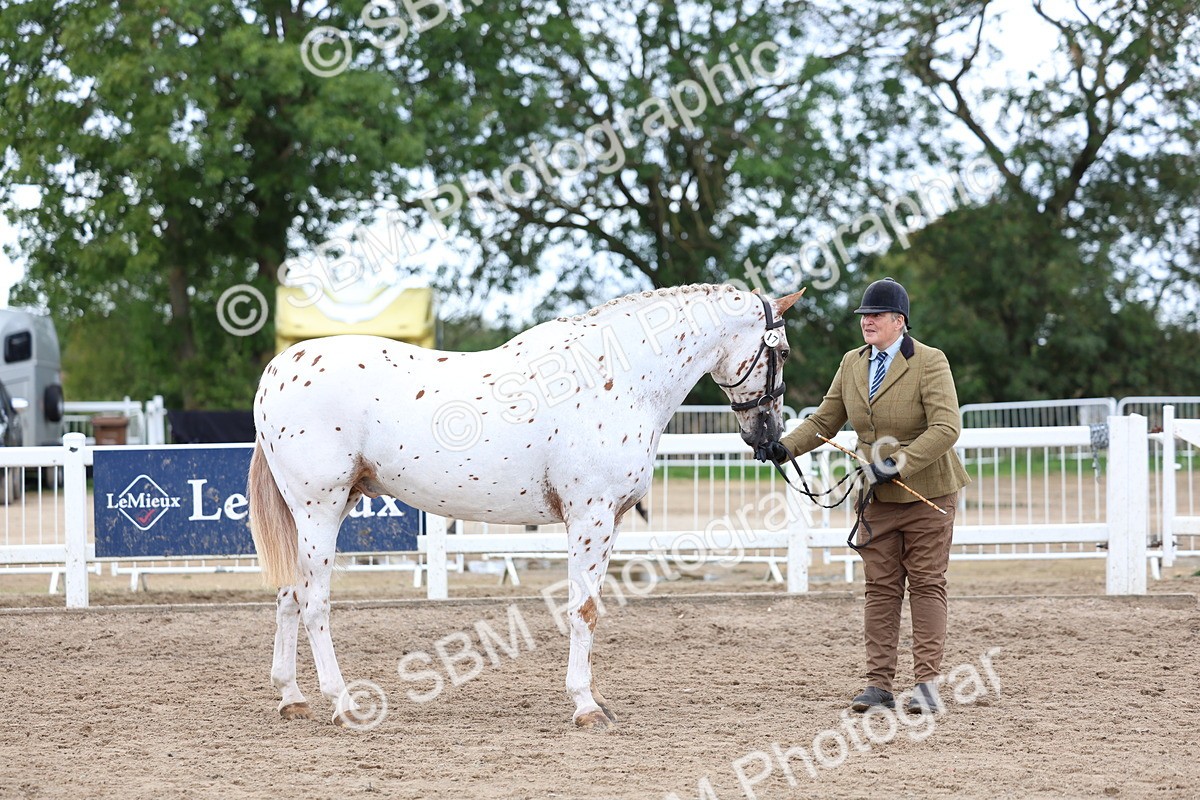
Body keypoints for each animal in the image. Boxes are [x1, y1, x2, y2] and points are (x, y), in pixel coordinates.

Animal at [247, 283, 805, 730]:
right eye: (781, 352)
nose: (768, 438)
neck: (615, 377)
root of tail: (277, 370)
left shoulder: (612, 522)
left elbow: (591, 605)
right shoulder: (590, 517)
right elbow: (583, 609)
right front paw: (585, 706)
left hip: (321, 511)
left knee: (288, 595)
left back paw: (292, 698)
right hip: (319, 509)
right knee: (314, 602)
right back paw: (343, 703)